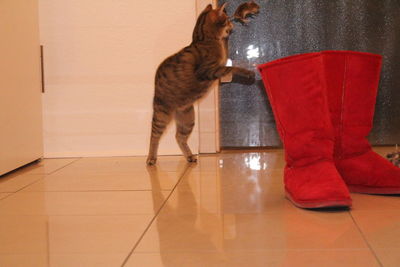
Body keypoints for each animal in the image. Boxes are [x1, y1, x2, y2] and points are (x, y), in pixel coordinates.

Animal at [145, 2, 255, 165]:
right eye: (227, 20)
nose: (233, 25)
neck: (203, 39)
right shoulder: (208, 70)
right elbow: (232, 67)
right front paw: (247, 72)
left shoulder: (219, 64)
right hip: (162, 114)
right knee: (154, 136)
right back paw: (151, 158)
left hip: (188, 118)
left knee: (179, 137)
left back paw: (190, 156)